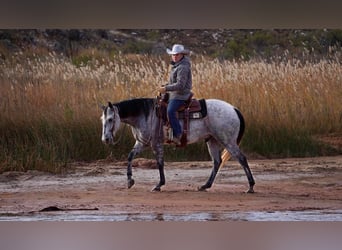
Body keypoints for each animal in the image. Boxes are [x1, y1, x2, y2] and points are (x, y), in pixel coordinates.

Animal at [100, 96, 255, 192]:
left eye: (110, 119)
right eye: (102, 119)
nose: (105, 139)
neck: (146, 114)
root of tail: (234, 109)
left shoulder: (156, 143)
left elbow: (160, 163)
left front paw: (159, 185)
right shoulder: (142, 143)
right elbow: (130, 156)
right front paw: (130, 181)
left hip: (228, 141)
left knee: (241, 159)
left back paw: (251, 187)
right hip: (212, 140)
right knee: (217, 162)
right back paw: (205, 186)